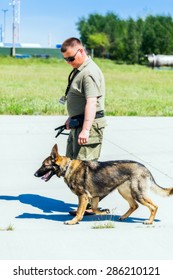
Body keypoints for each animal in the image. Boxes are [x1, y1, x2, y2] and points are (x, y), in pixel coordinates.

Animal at [34, 144, 172, 225]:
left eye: (44, 165)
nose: (35, 174)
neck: (67, 167)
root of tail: (145, 168)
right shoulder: (93, 197)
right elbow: (94, 209)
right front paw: (104, 212)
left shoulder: (83, 196)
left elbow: (79, 211)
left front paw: (74, 221)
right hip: (125, 192)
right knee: (134, 206)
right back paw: (123, 217)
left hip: (138, 194)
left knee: (154, 207)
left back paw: (149, 221)